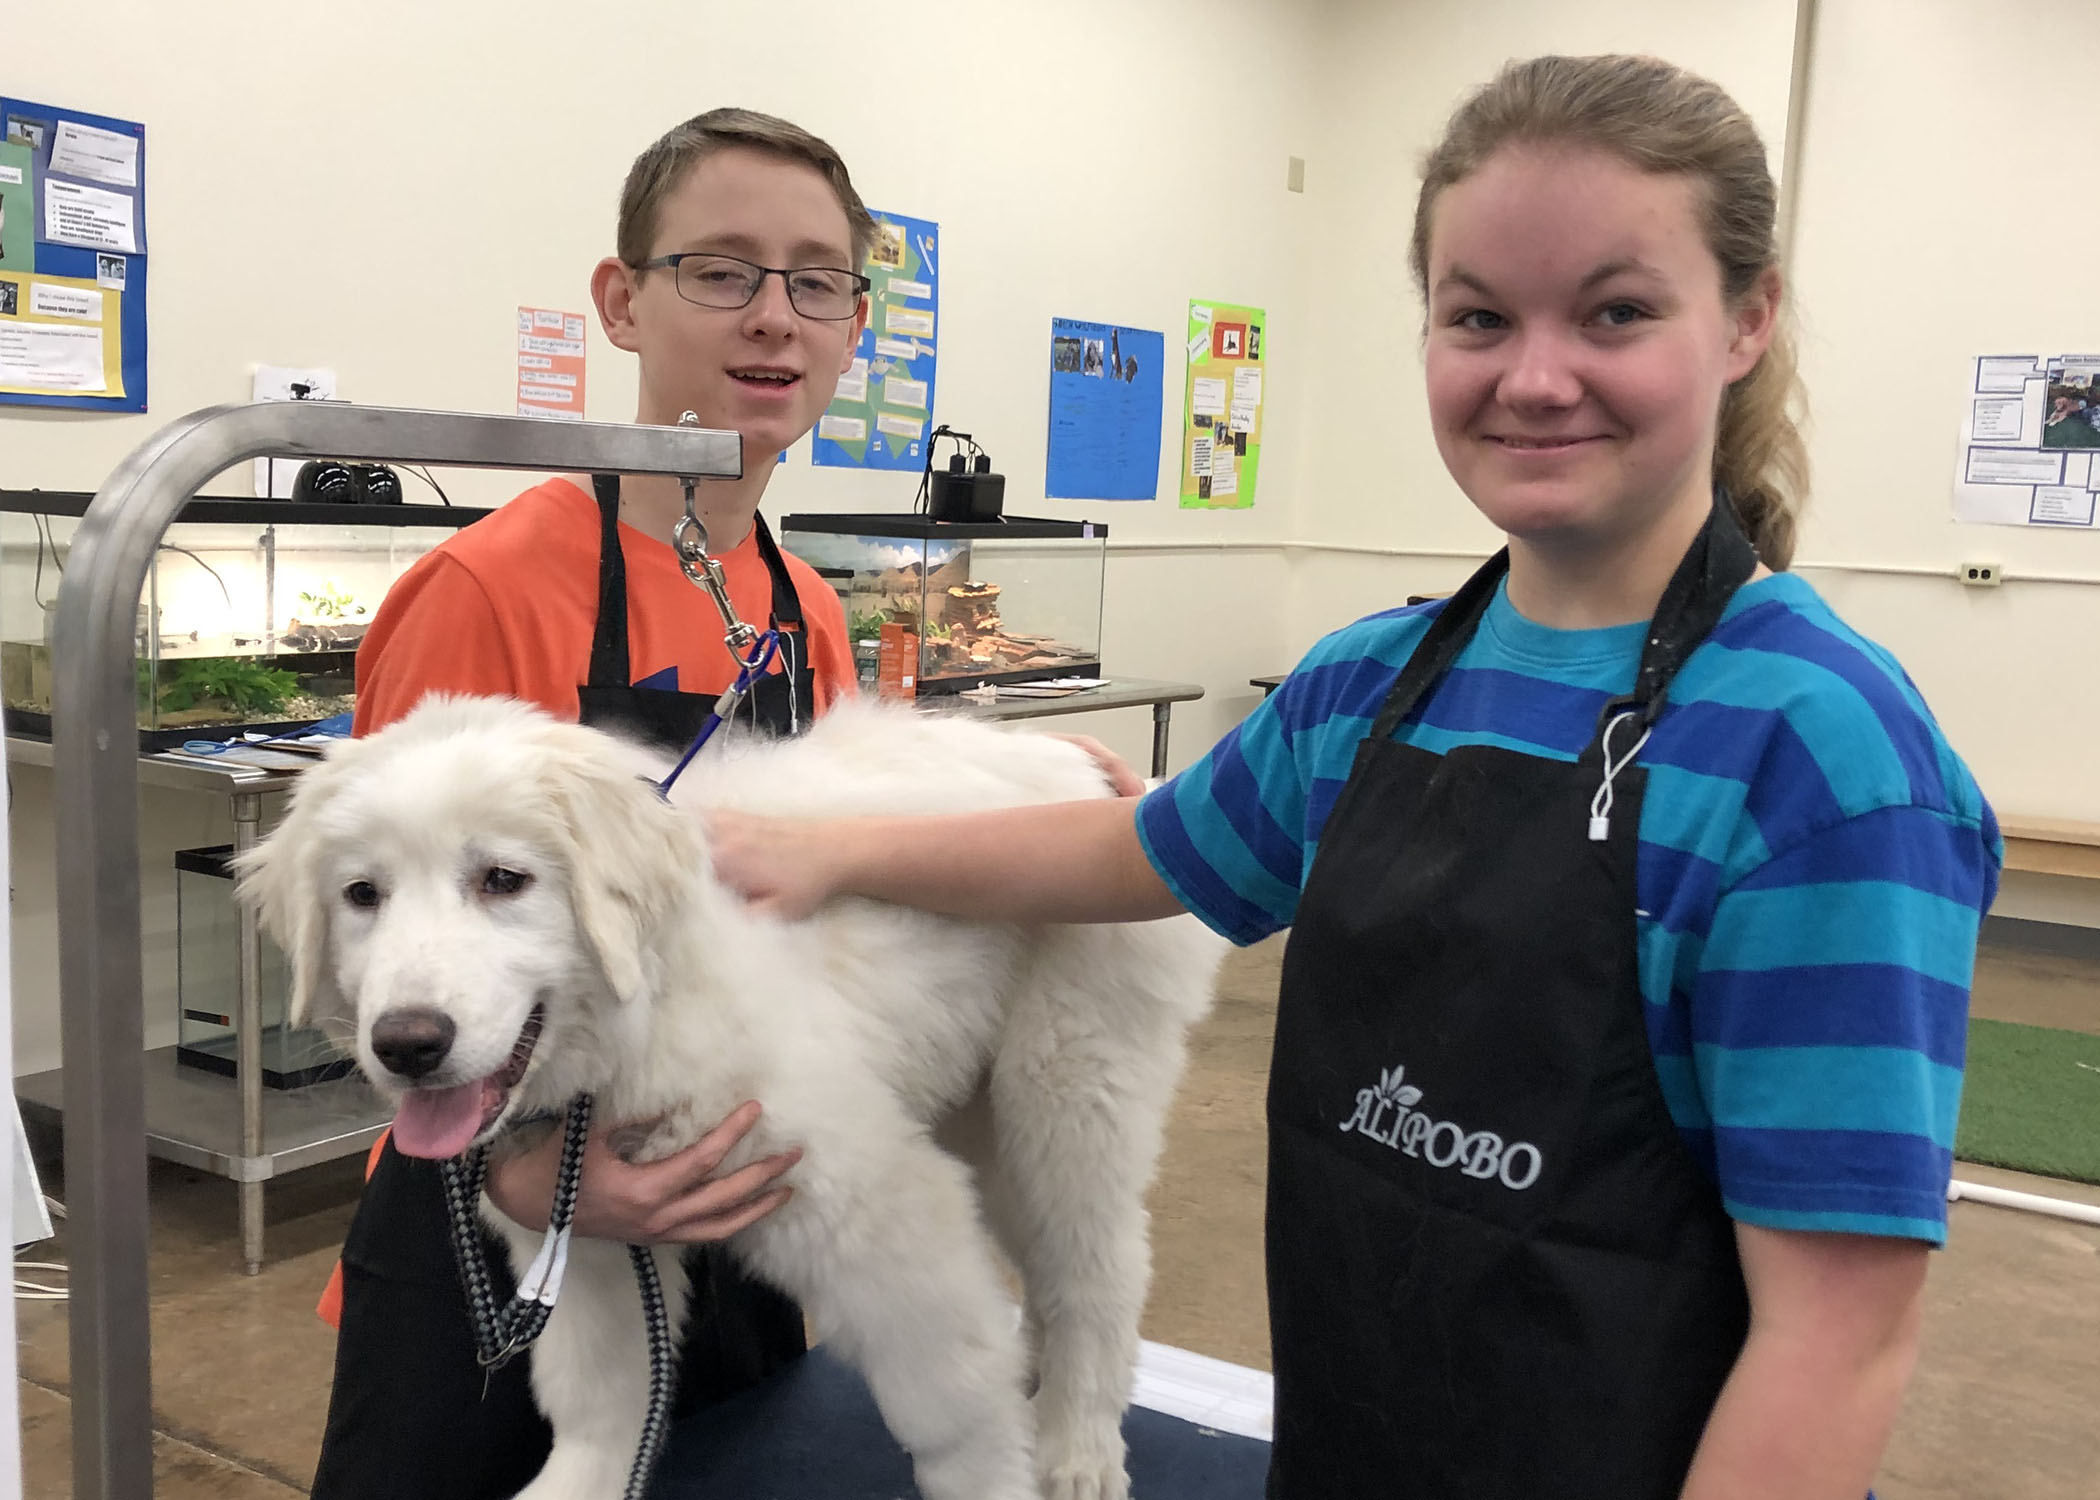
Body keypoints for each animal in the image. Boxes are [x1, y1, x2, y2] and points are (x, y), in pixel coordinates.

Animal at [236, 693, 1226, 1495]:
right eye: (363, 894)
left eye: (503, 881)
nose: (407, 1044)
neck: (640, 1011)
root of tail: (1101, 774)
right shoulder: (587, 1235)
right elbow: (600, 1404)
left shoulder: (879, 1210)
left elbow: (954, 1412)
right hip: (984, 1107)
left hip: (1067, 1089)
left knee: (1096, 1272)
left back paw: (1078, 1451)